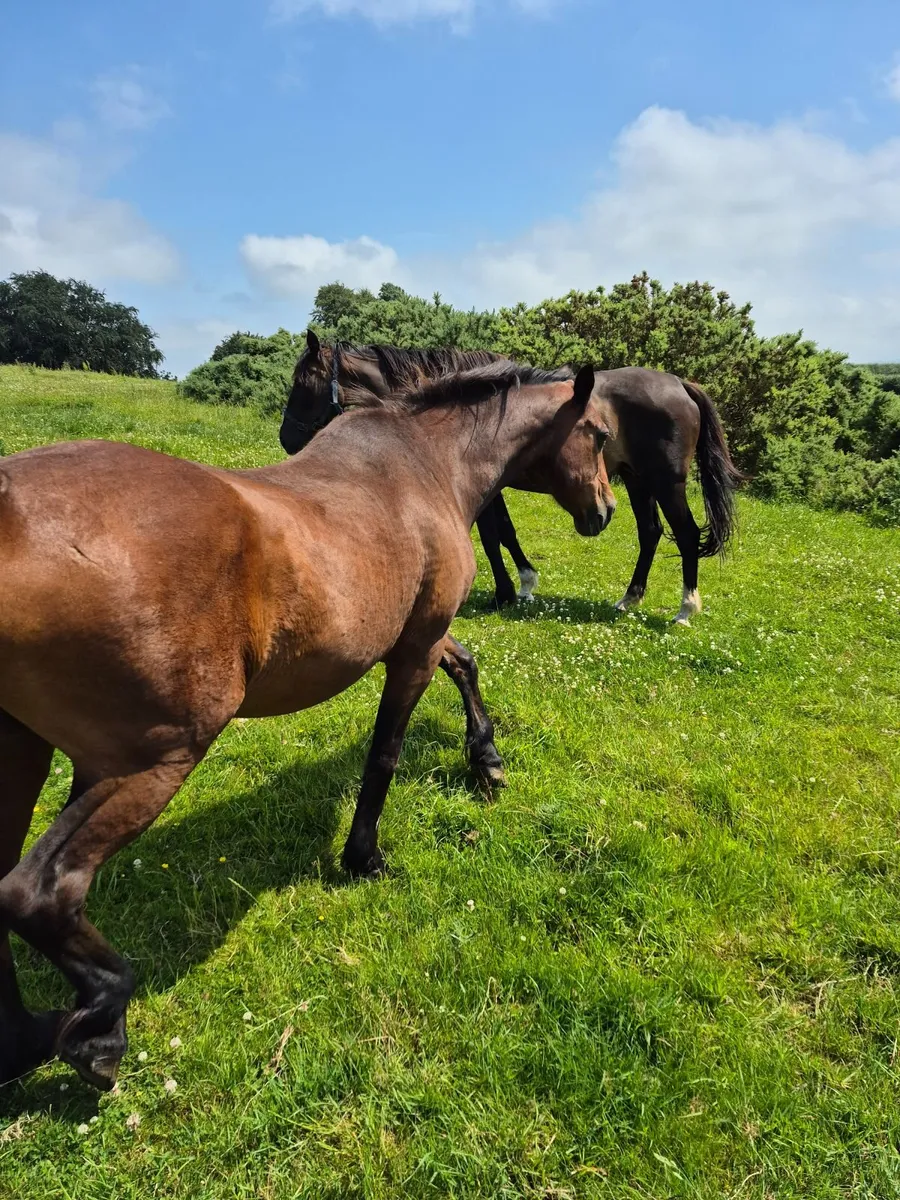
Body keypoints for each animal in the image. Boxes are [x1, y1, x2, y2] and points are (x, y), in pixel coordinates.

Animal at [0, 362, 609, 1091]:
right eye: (600, 434)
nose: (605, 511)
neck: (425, 465)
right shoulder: (415, 647)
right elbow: (385, 753)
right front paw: (365, 856)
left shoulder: (421, 637)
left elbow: (466, 664)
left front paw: (485, 759)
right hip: (150, 762)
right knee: (39, 892)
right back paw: (100, 1027)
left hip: (24, 754)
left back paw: (23, 1039)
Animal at [282, 332, 744, 625]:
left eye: (303, 382)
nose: (286, 438)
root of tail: (680, 384)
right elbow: (502, 531)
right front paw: (522, 584)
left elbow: (493, 534)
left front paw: (511, 589)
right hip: (637, 481)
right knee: (650, 533)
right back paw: (629, 598)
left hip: (667, 483)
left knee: (685, 533)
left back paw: (685, 609)